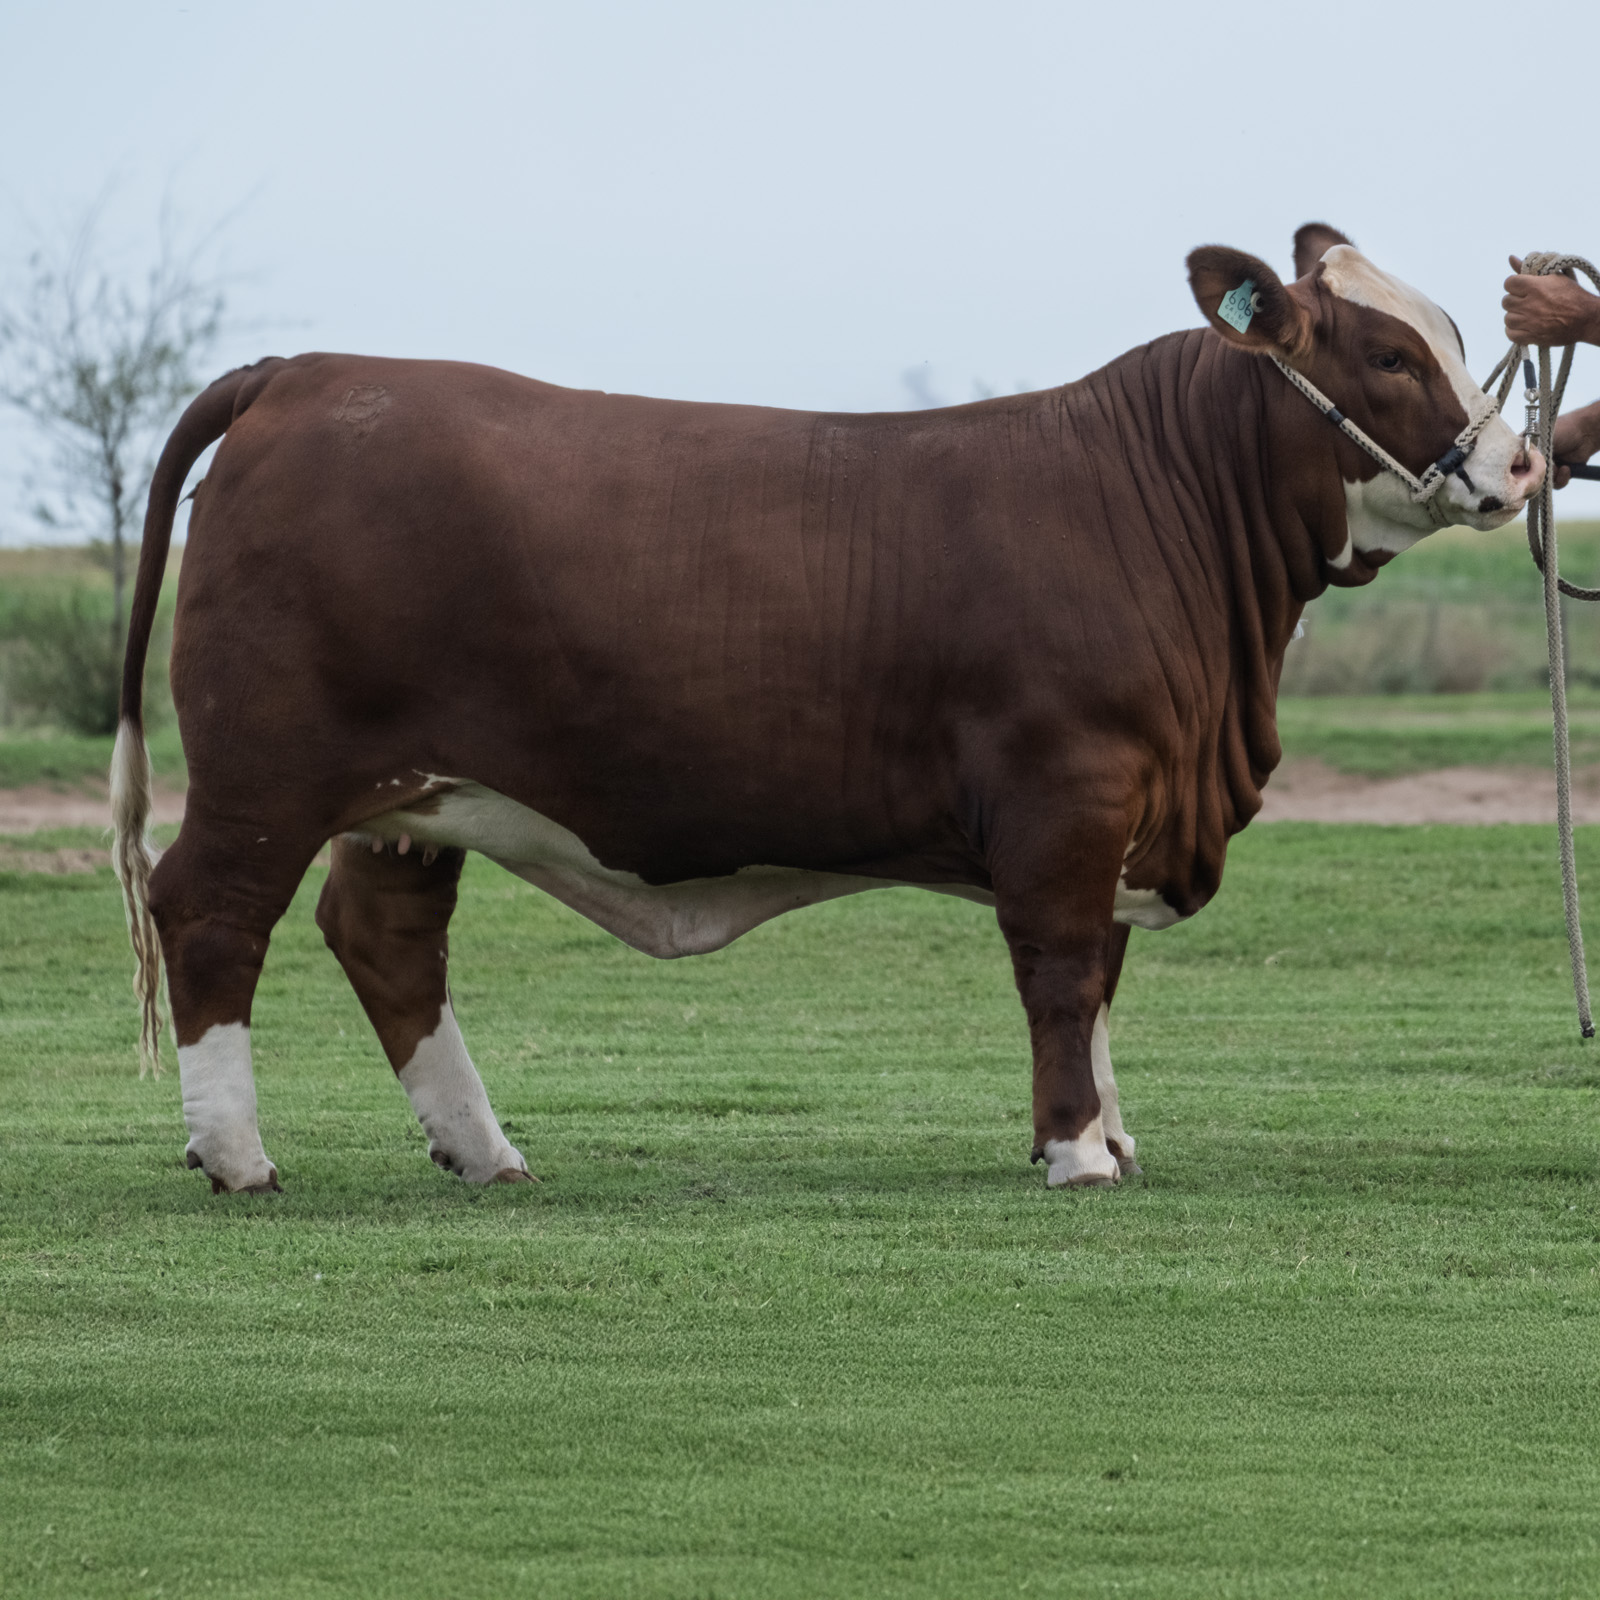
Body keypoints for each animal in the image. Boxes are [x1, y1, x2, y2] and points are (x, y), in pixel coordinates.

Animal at [111, 223, 1543, 1195]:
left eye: (1460, 332)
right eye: (1384, 351)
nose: (1522, 461)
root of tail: (302, 370)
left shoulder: (1124, 801)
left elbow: (1102, 976)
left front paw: (1109, 1131)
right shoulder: (1067, 792)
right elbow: (1063, 969)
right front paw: (1074, 1150)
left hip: (411, 794)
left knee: (386, 936)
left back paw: (483, 1149)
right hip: (265, 771)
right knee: (213, 911)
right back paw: (236, 1155)